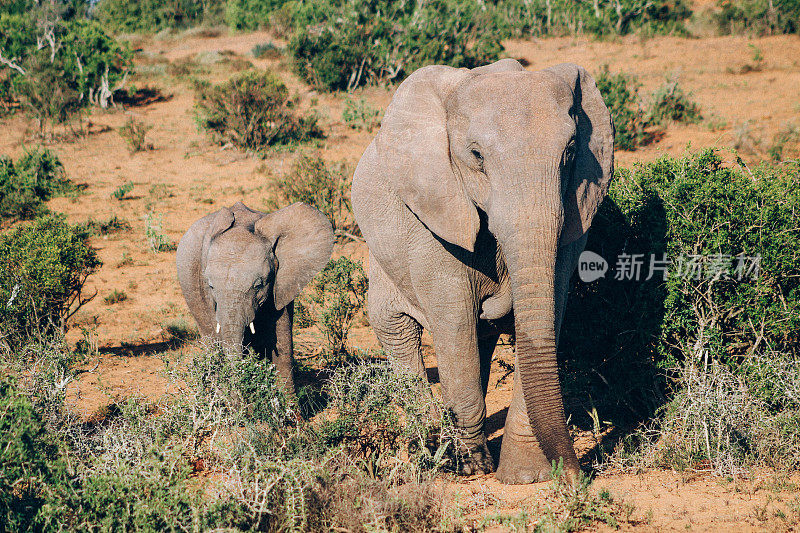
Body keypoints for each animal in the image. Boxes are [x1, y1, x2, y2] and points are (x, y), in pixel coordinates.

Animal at [350, 58, 612, 482]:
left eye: (571, 152)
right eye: (476, 155)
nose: (577, 476)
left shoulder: (573, 218)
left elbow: (549, 315)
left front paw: (526, 476)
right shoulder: (437, 216)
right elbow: (454, 324)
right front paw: (471, 469)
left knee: (480, 344)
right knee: (398, 333)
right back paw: (427, 445)